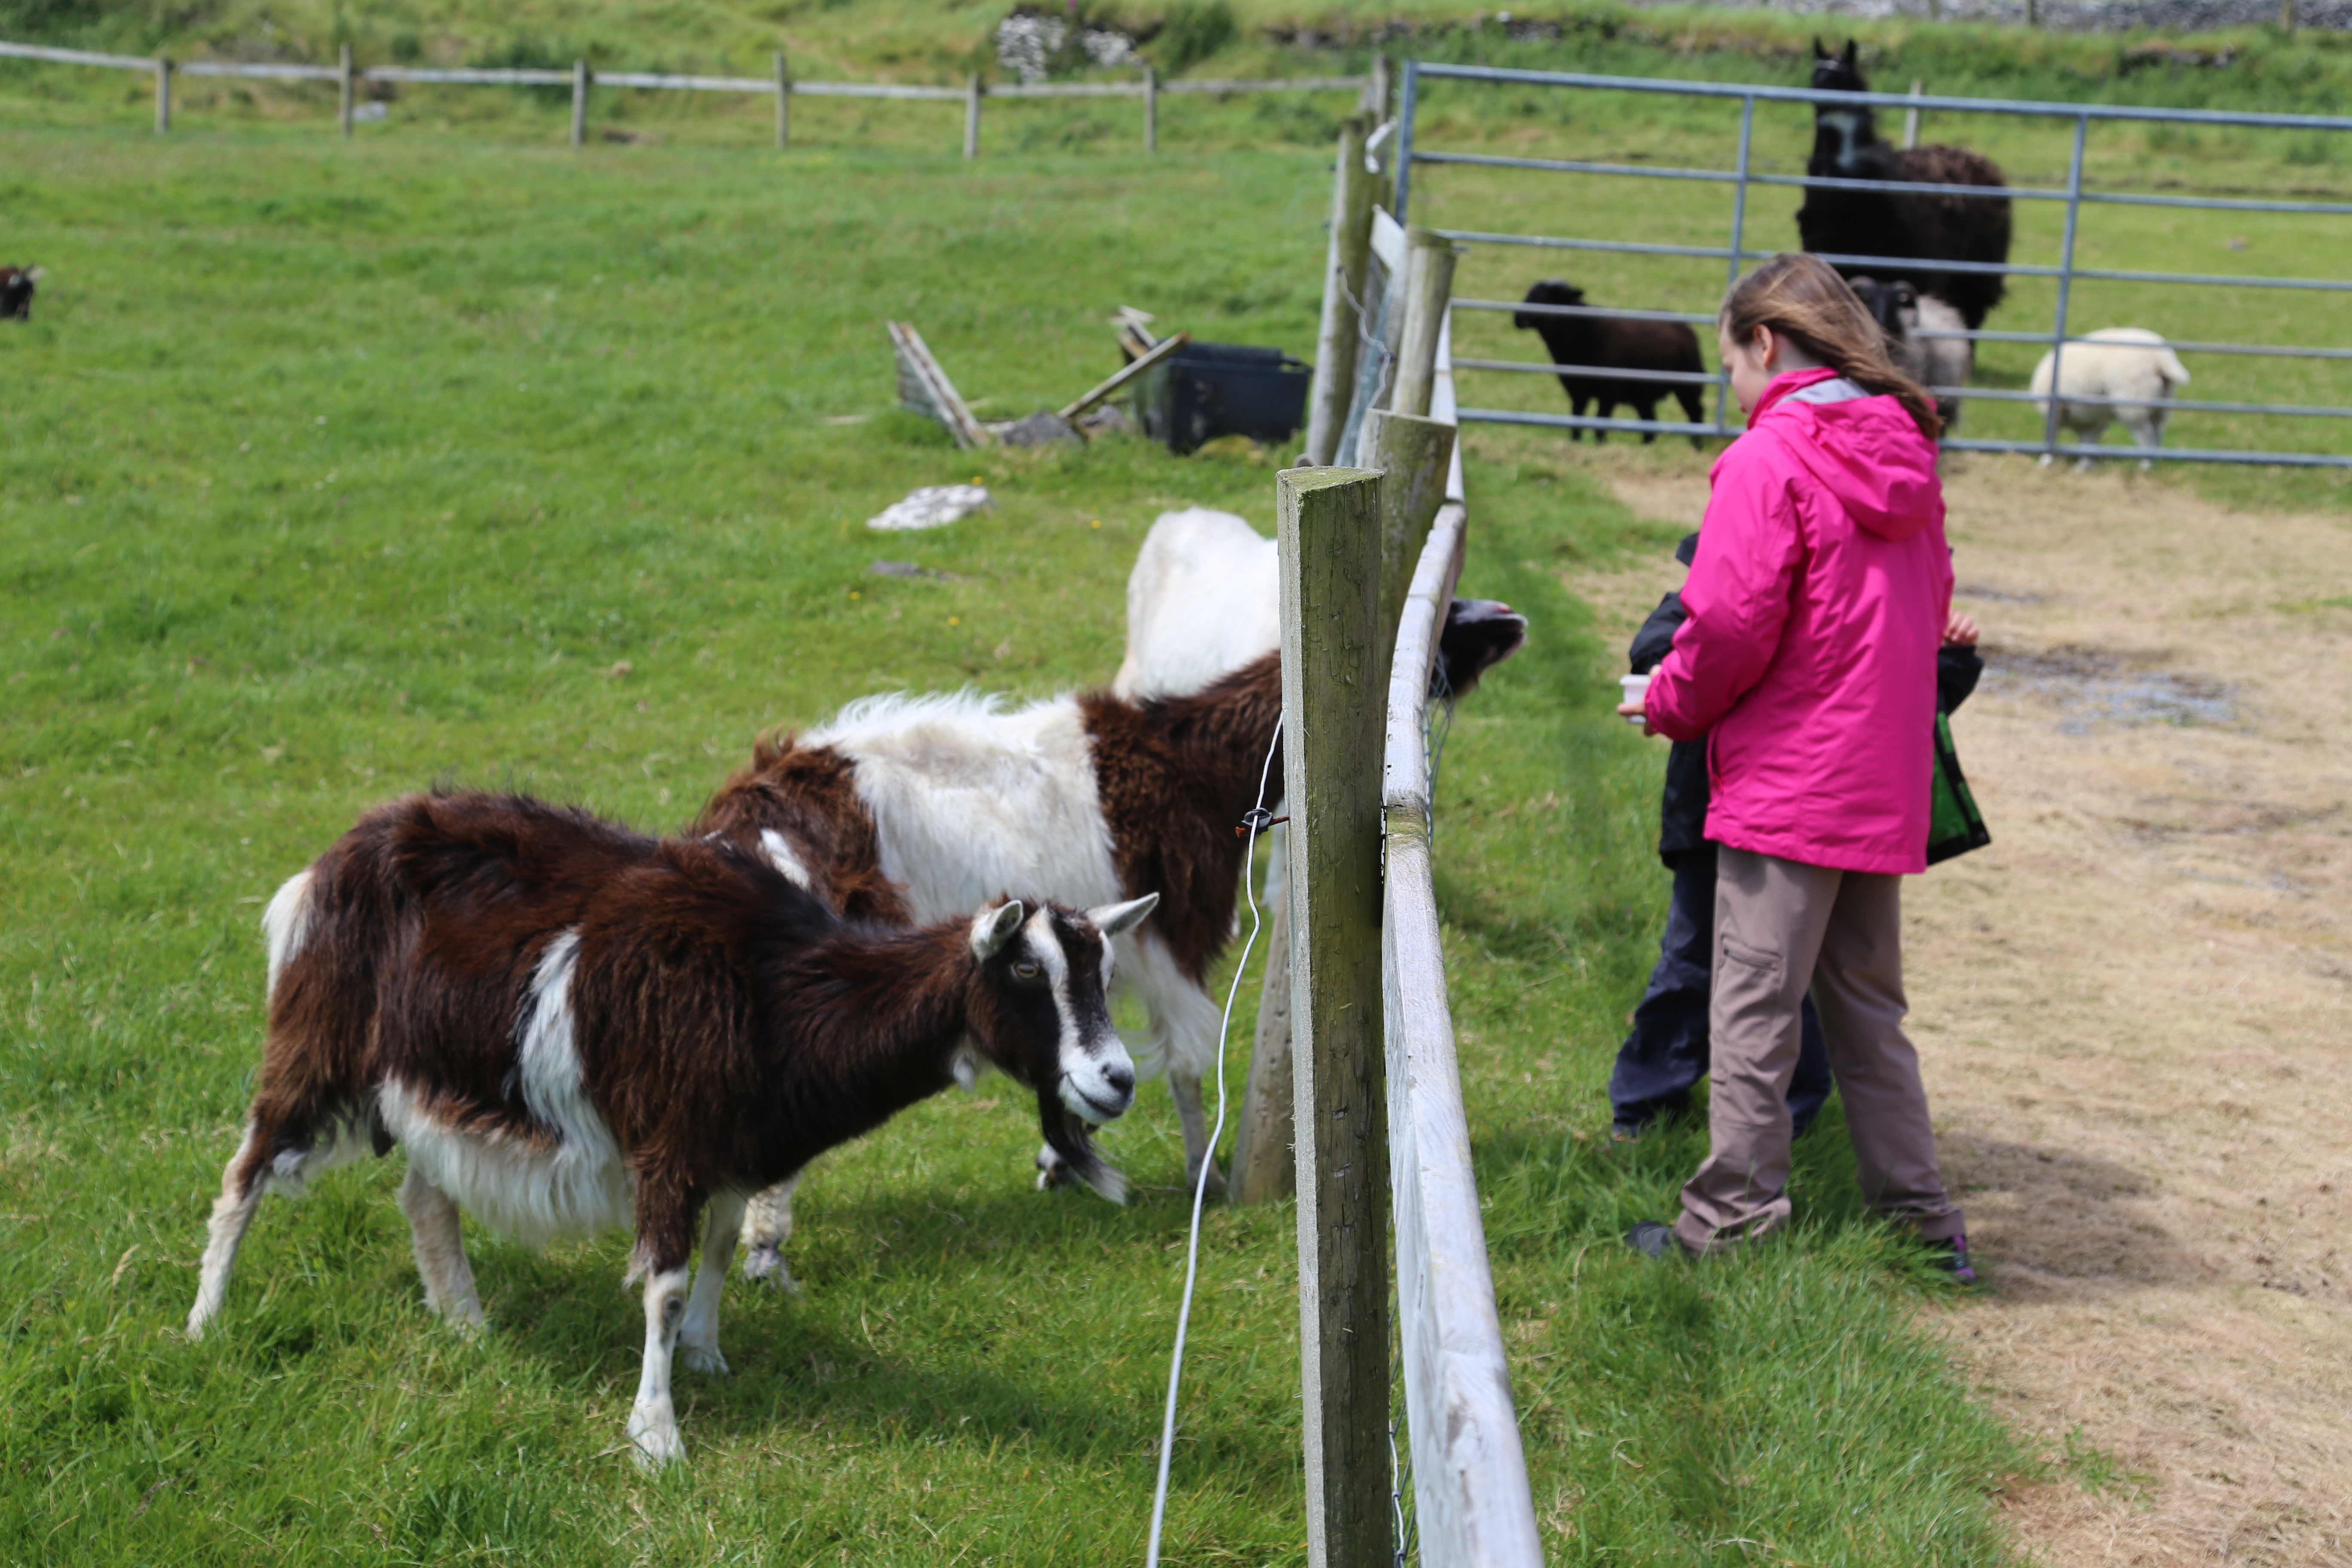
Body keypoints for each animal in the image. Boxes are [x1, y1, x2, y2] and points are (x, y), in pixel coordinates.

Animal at [188, 790, 1162, 1467]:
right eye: (1027, 974)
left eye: (1103, 972)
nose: (1117, 1080)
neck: (779, 990)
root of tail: (326, 865)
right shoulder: (668, 1140)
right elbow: (661, 1280)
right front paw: (656, 1435)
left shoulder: (734, 1147)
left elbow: (724, 1248)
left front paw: (706, 1353)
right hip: (318, 1035)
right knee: (244, 1173)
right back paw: (206, 1321)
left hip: (439, 1078)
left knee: (427, 1193)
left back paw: (464, 1323)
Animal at [1514, 282, 1703, 447]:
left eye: (1546, 298)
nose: (1518, 318)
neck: (1586, 334)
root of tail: (1684, 325)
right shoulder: (1576, 391)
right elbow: (1576, 417)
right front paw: (1575, 443)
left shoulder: (1610, 390)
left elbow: (1601, 420)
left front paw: (1600, 445)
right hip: (1642, 393)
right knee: (1650, 420)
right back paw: (1647, 446)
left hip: (1688, 383)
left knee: (1695, 412)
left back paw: (1696, 446)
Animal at [2022, 329, 2183, 472]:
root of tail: (2160, 358)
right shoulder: (2093, 417)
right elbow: (2089, 441)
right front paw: (2084, 466)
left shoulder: (2056, 410)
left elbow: (2053, 434)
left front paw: (2046, 461)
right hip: (2160, 404)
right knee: (2158, 431)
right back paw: (2154, 461)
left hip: (2133, 400)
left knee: (2146, 434)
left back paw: (2145, 465)